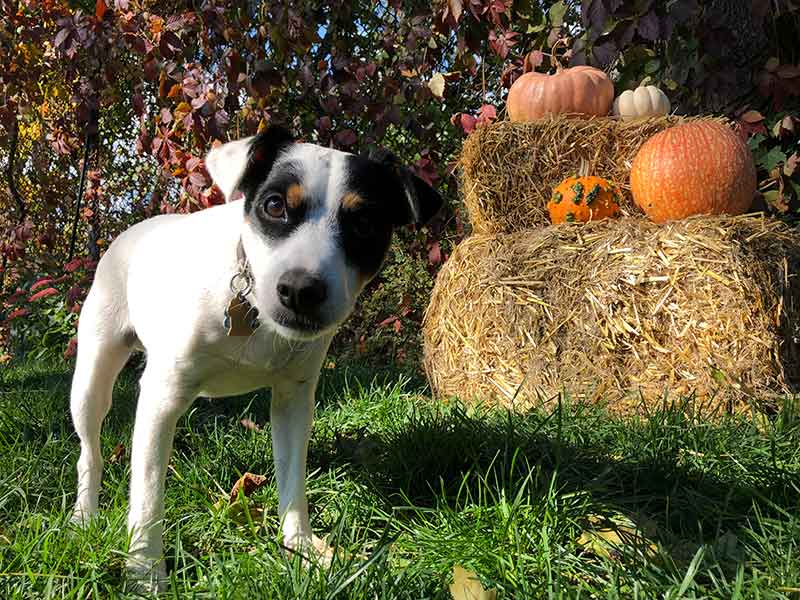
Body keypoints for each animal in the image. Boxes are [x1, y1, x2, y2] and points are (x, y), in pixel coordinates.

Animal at [69, 126, 444, 592]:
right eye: (274, 204)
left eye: (365, 223)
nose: (301, 290)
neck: (254, 315)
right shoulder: (160, 398)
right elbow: (148, 495)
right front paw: (145, 573)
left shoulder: (294, 401)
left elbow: (293, 483)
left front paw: (301, 549)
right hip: (92, 378)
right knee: (90, 452)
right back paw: (84, 515)